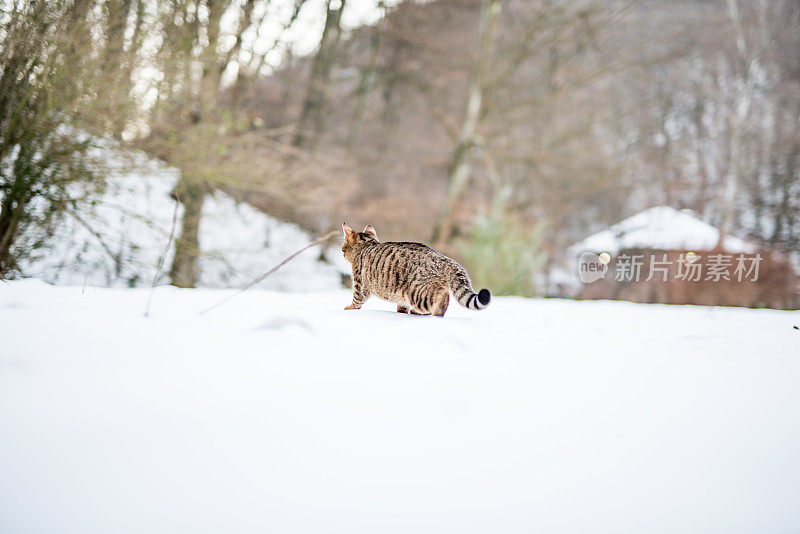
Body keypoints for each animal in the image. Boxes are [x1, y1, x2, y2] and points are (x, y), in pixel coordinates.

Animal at [338, 223, 488, 318]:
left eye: (343, 248)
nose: (342, 253)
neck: (367, 245)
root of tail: (443, 258)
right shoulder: (400, 296)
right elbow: (402, 307)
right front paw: (401, 311)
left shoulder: (360, 283)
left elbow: (357, 299)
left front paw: (350, 308)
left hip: (418, 293)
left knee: (443, 296)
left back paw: (434, 313)